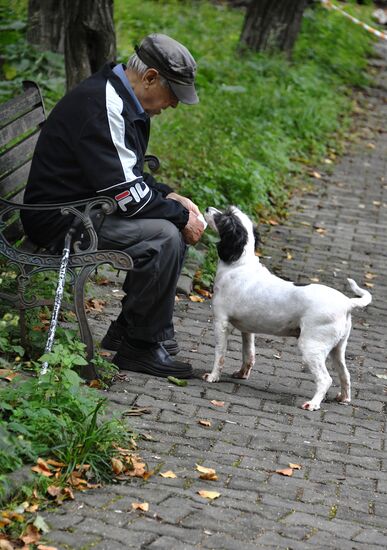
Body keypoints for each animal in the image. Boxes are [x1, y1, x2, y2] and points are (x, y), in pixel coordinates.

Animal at [205, 205, 372, 412]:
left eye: (224, 217)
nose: (207, 208)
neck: (239, 264)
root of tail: (347, 303)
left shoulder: (221, 322)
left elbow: (219, 354)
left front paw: (213, 376)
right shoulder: (247, 329)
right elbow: (248, 354)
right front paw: (242, 373)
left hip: (311, 348)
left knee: (326, 379)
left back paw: (313, 404)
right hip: (337, 349)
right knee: (345, 374)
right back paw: (343, 398)